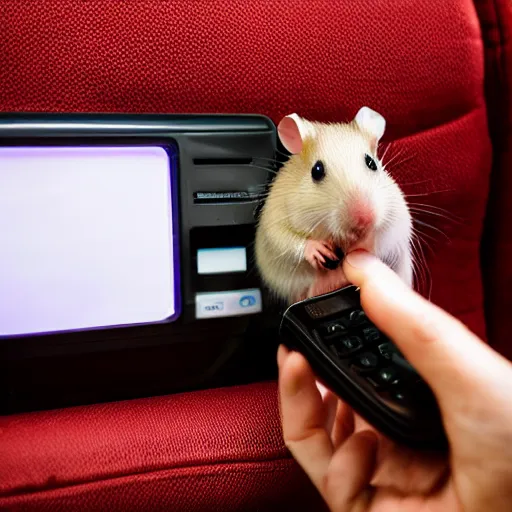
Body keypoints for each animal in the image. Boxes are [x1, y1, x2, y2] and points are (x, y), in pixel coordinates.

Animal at [254, 105, 414, 302]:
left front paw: (362, 244)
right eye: (316, 171)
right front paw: (319, 251)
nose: (365, 220)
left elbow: (383, 237)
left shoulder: (397, 215)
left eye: (371, 163)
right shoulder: (274, 217)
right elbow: (285, 238)